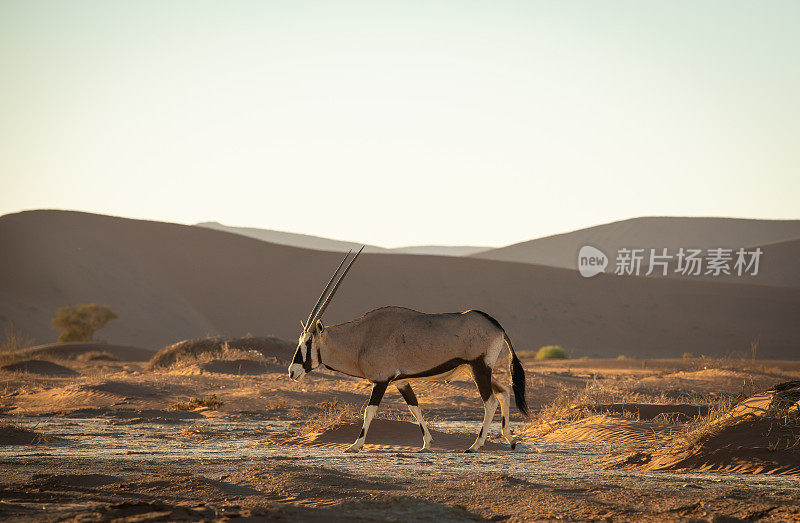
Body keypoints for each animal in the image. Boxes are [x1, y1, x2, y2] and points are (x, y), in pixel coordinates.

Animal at [290, 248, 532, 452]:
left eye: (308, 342)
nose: (292, 372)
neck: (362, 338)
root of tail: (497, 326)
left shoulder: (381, 381)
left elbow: (370, 410)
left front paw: (355, 445)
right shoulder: (401, 382)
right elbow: (414, 408)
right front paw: (427, 444)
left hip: (479, 368)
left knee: (490, 401)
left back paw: (475, 445)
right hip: (476, 370)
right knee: (503, 392)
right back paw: (510, 440)